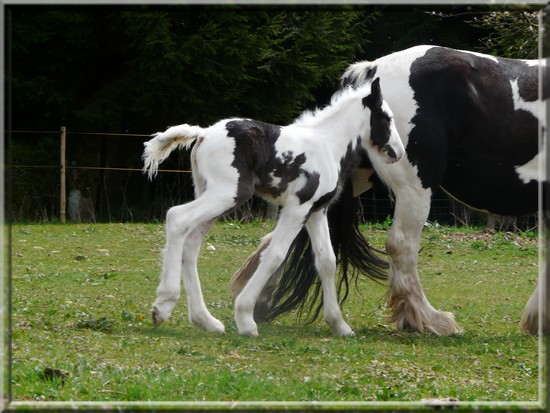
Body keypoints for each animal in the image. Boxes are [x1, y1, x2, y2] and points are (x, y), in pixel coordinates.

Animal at [142, 79, 406, 336]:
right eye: (387, 118)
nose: (398, 153)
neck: (328, 145)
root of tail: (203, 134)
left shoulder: (316, 212)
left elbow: (327, 261)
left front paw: (339, 325)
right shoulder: (297, 208)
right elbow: (274, 255)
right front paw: (245, 318)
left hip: (212, 194)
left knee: (191, 244)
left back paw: (205, 321)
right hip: (228, 194)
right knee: (177, 217)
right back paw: (163, 306)